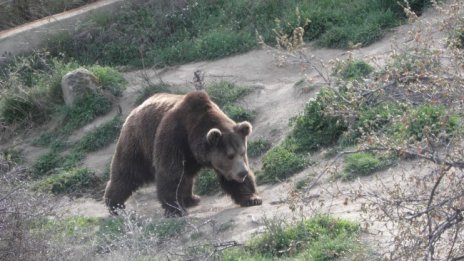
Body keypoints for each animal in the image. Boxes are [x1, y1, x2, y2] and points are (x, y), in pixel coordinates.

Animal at [104, 89, 260, 215]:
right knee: (127, 173)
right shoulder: (173, 137)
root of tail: (135, 110)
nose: (243, 172)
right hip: (138, 142)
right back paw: (115, 205)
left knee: (187, 175)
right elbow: (170, 173)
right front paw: (175, 209)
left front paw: (252, 198)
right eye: (230, 155)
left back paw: (191, 198)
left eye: (242, 152)